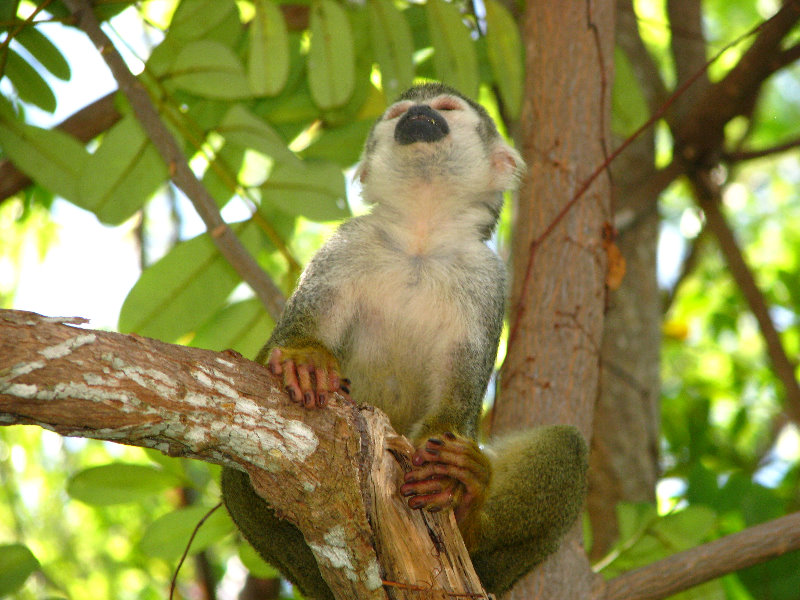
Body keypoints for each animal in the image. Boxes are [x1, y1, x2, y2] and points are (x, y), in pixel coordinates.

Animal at [222, 82, 584, 596]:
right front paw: (305, 358)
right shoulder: (346, 243)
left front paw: (450, 476)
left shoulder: (488, 276)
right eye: (398, 113)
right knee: (238, 475)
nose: (417, 115)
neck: (421, 239)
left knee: (569, 447)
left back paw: (469, 511)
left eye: (445, 108)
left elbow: (461, 393)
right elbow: (286, 339)